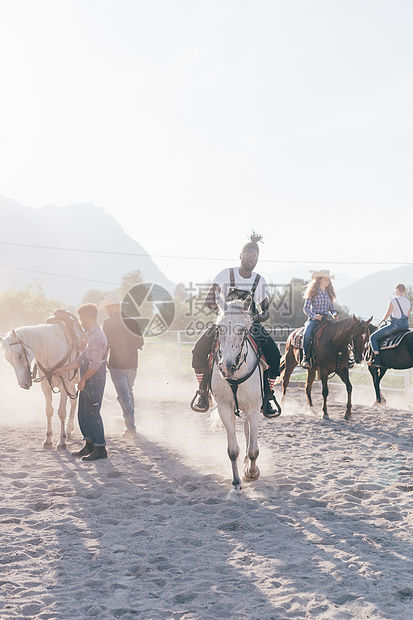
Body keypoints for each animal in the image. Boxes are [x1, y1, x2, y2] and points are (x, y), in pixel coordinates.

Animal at [211, 296, 262, 494]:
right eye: (220, 328)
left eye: (242, 329)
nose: (226, 366)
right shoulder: (224, 408)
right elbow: (232, 450)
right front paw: (236, 483)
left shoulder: (254, 409)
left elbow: (254, 450)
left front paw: (252, 473)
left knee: (248, 431)